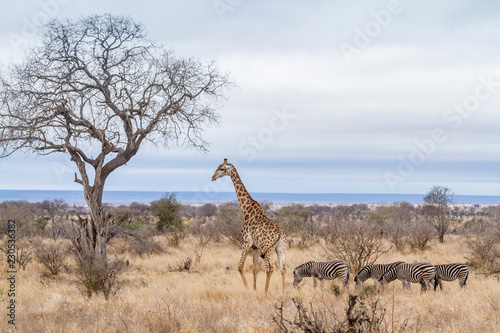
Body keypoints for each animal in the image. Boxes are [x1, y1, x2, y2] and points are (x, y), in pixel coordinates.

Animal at [213, 160, 288, 292]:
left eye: (222, 169)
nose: (213, 177)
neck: (246, 210)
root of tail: (279, 235)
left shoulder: (246, 241)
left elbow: (240, 266)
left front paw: (248, 288)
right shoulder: (255, 247)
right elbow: (254, 269)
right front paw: (254, 289)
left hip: (268, 249)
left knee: (270, 269)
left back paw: (265, 292)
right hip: (280, 249)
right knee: (283, 268)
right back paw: (284, 293)